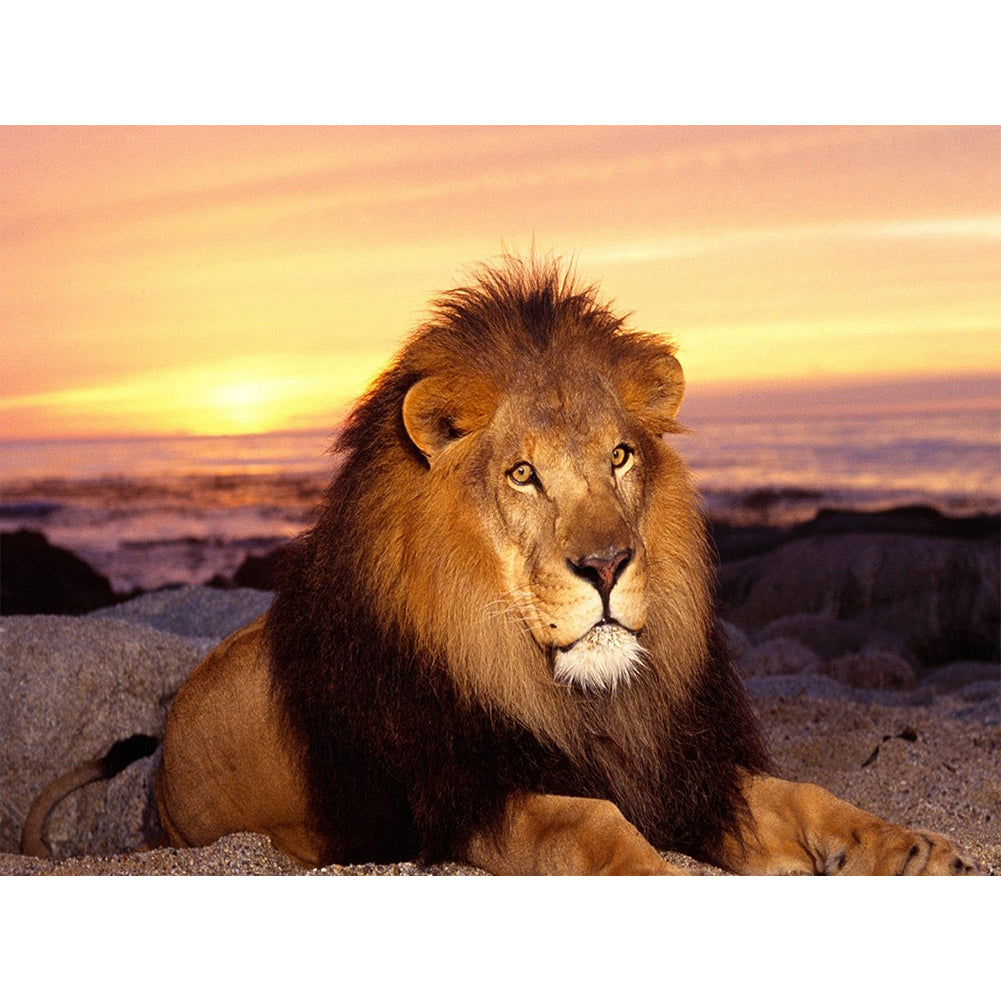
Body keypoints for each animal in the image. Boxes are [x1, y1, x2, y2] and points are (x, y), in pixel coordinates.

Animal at [26, 258, 981, 874]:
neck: (577, 695)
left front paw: (908, 847)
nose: (606, 563)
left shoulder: (680, 765)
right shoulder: (467, 792)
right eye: (523, 474)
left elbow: (804, 793)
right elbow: (592, 825)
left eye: (620, 457)